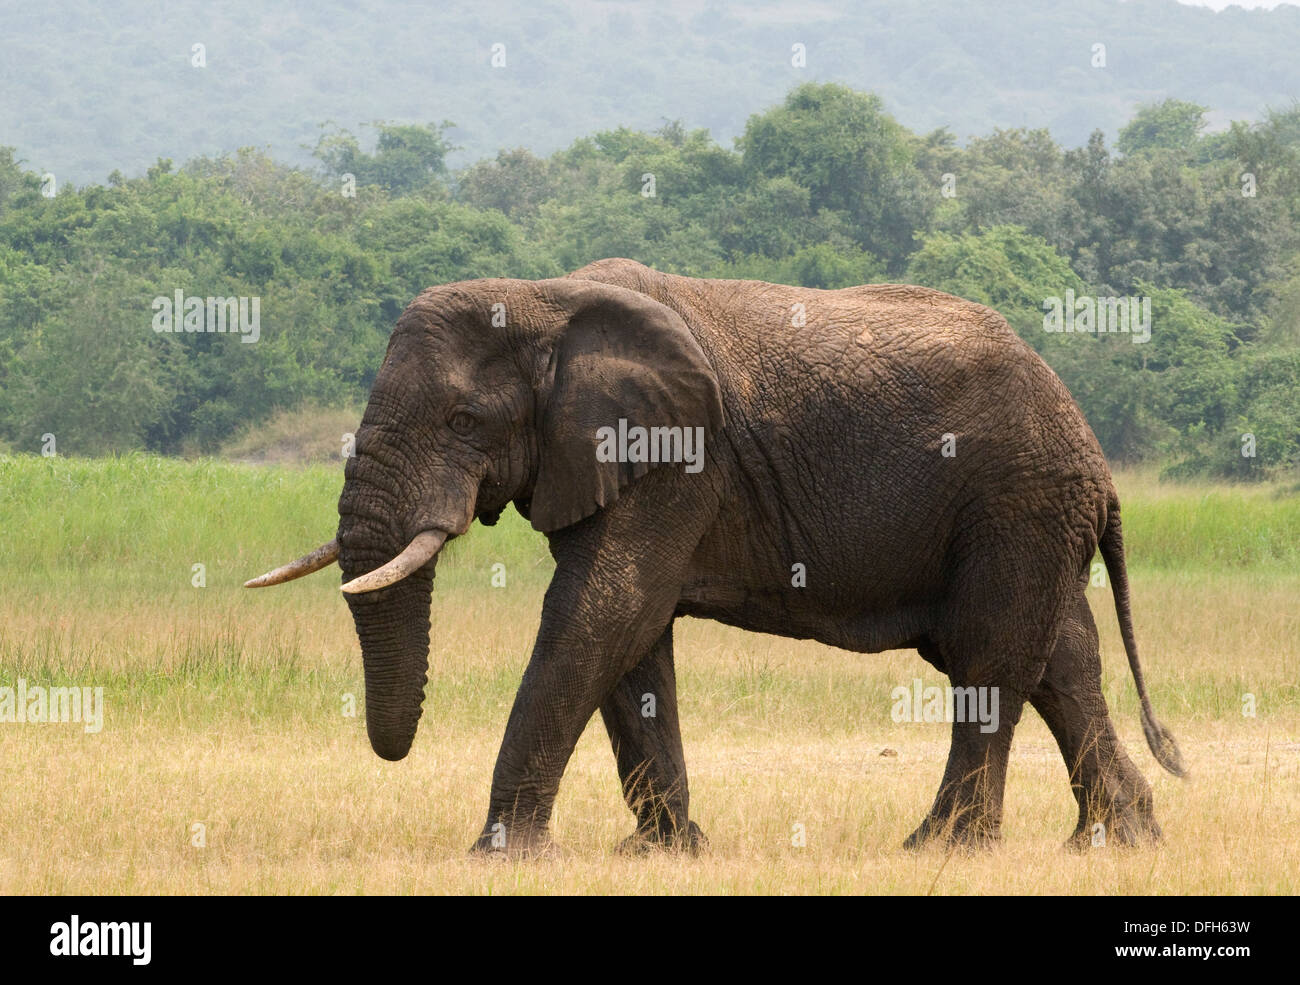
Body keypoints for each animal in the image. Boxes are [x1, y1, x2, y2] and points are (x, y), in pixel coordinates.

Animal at [246, 257, 1186, 856]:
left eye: (464, 421)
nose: (392, 753)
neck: (544, 297)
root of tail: (1093, 449)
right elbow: (630, 637)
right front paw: (664, 853)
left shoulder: (676, 456)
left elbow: (601, 609)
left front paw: (503, 856)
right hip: (1025, 510)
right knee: (1060, 658)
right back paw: (1118, 841)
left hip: (1016, 500)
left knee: (990, 654)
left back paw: (942, 850)